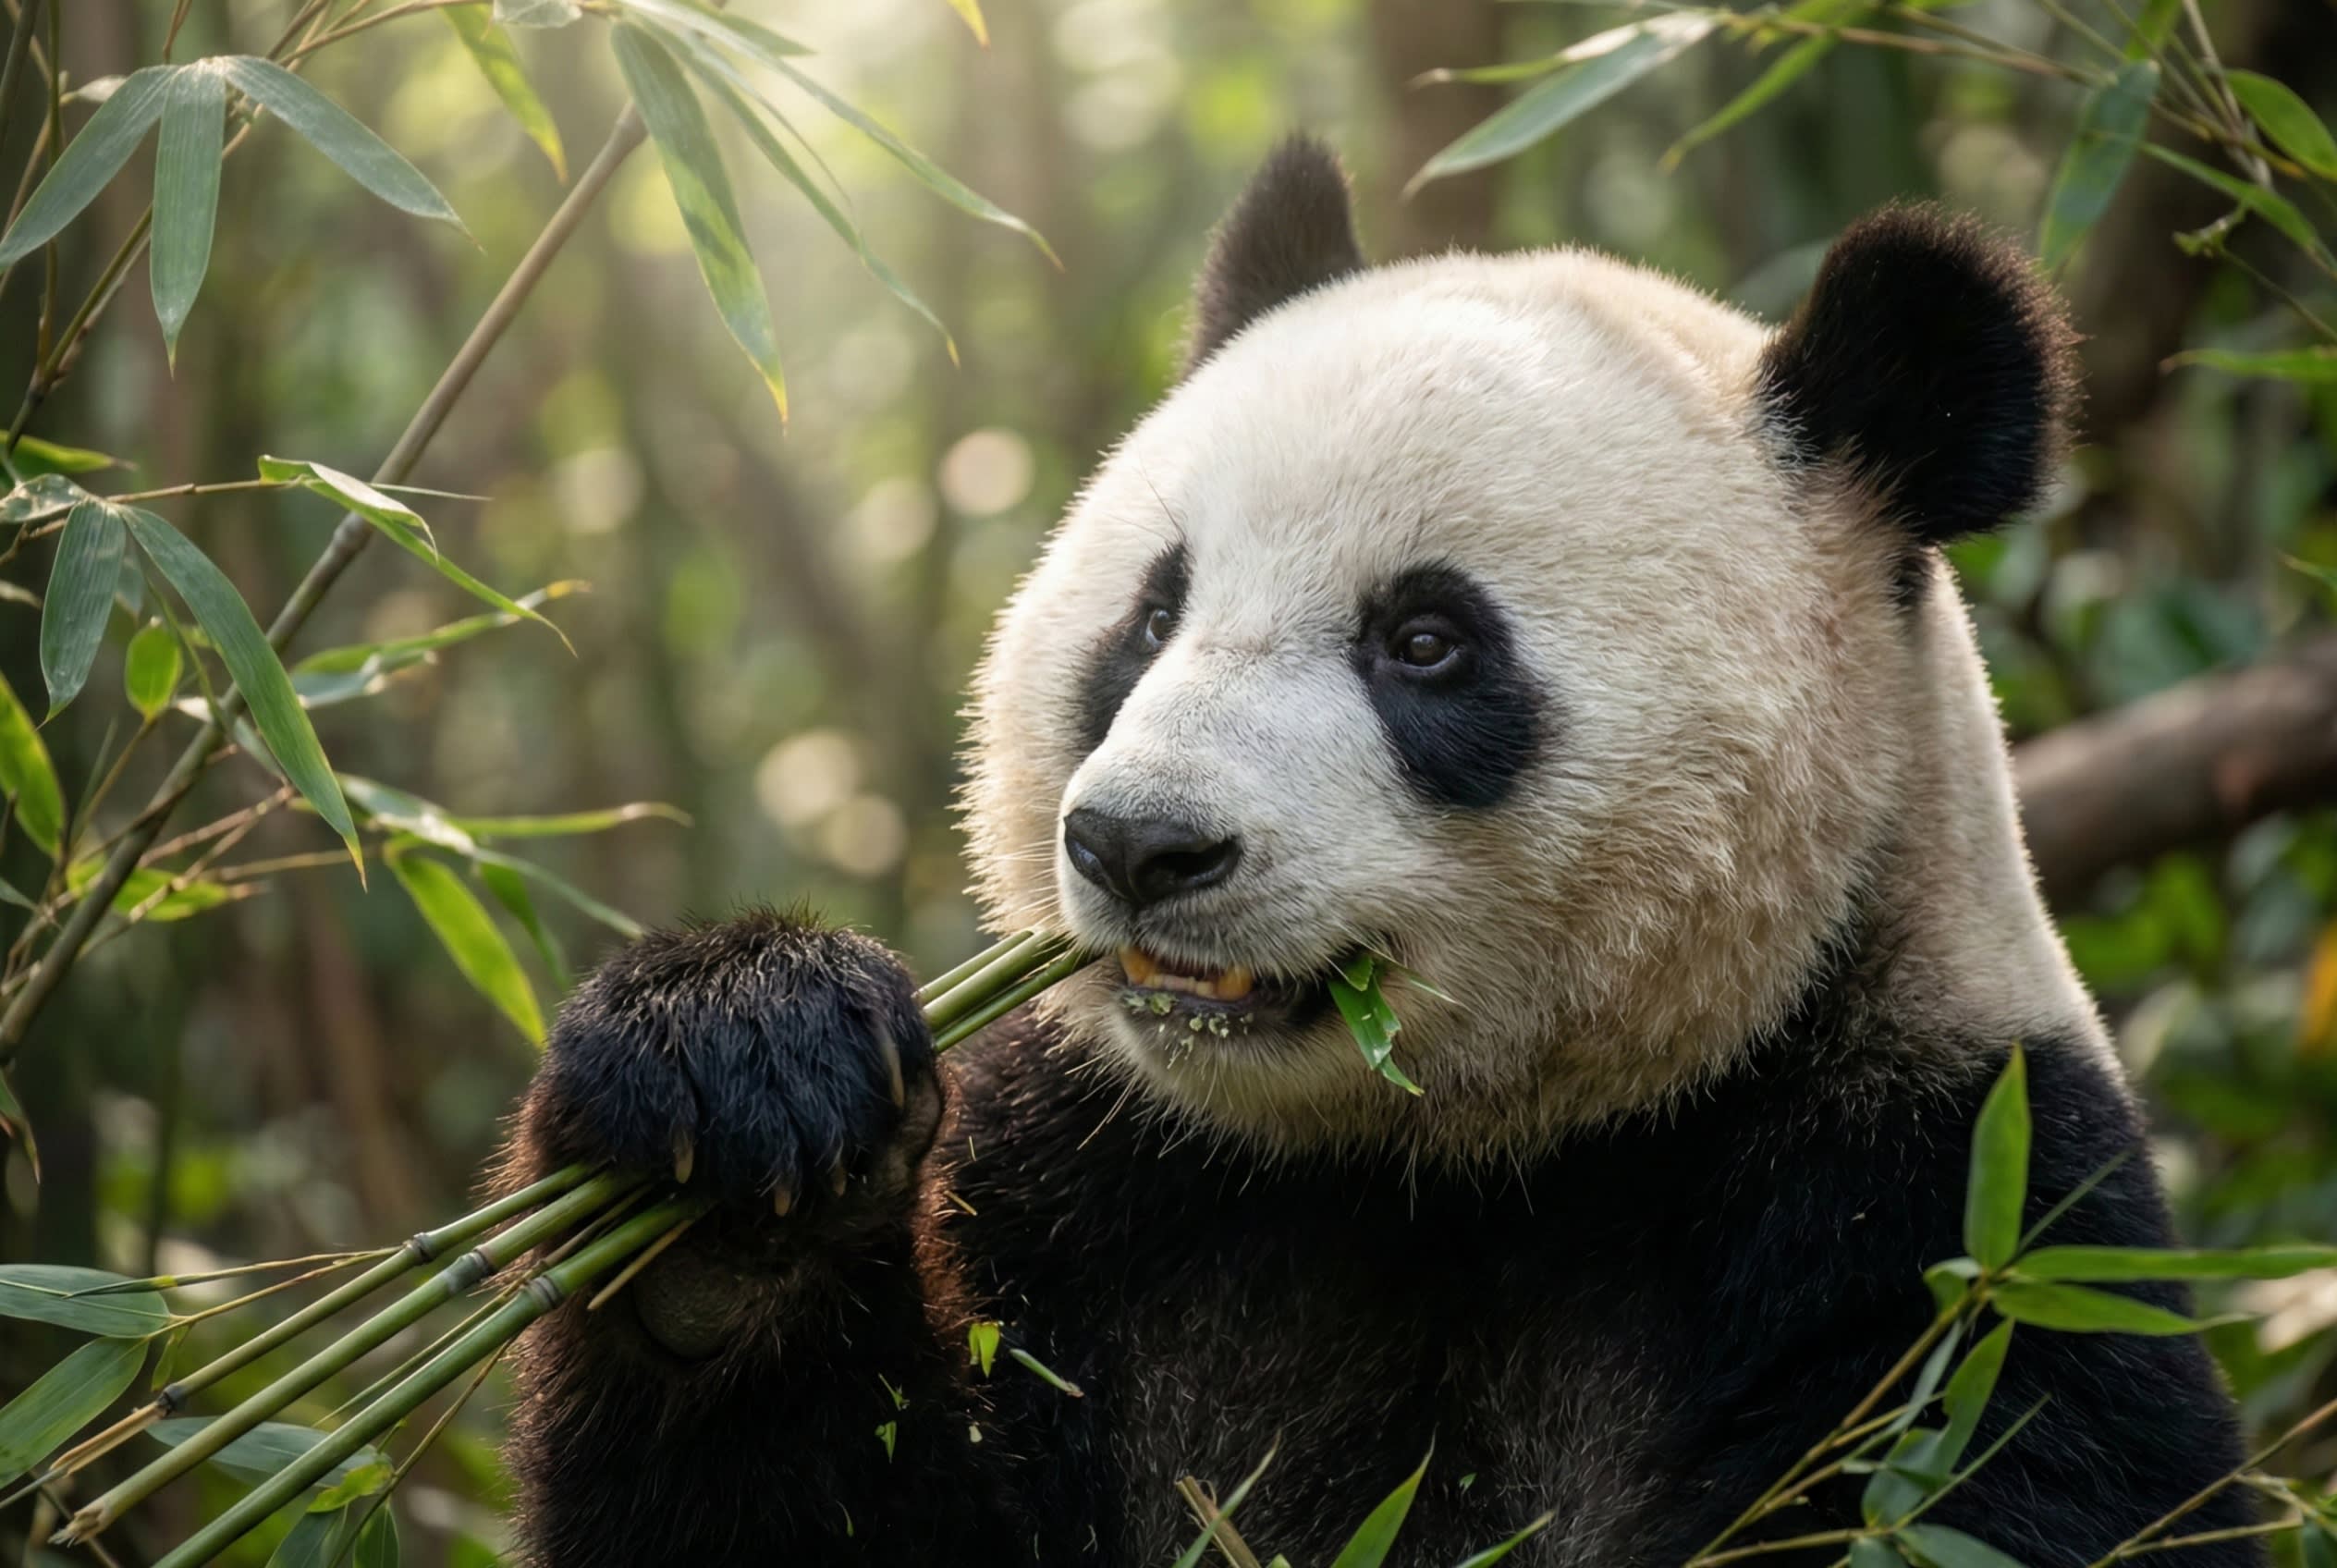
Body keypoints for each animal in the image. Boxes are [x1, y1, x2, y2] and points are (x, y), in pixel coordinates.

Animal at [496, 140, 2258, 1567]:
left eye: (1424, 642)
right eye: (1151, 615)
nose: (1140, 845)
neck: (1436, 1171)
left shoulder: (1954, 1230)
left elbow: (1980, 1477)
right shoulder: (1085, 1183)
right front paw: (733, 1133)